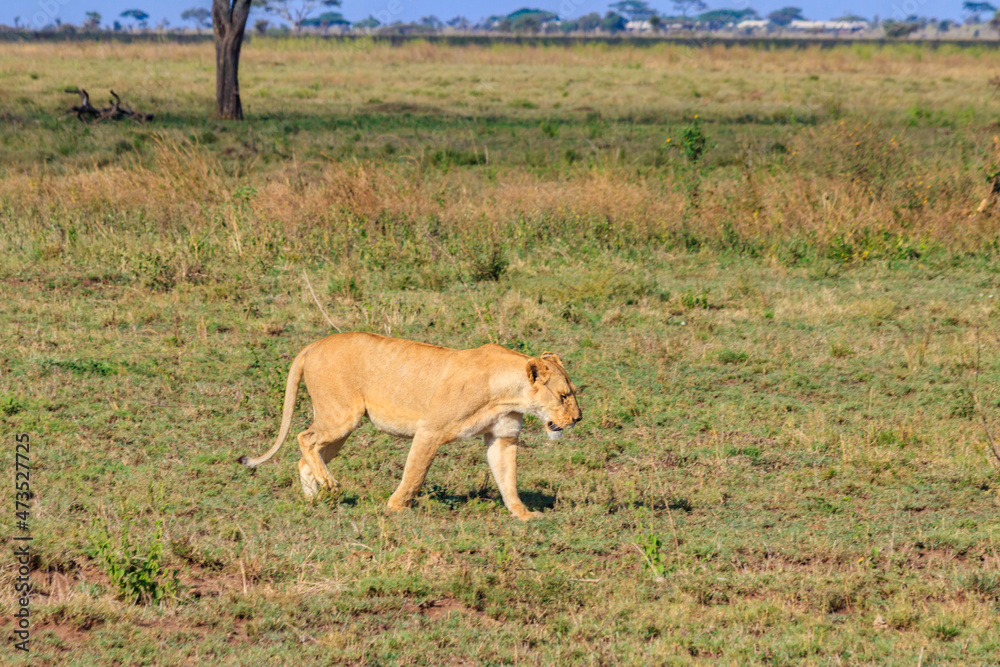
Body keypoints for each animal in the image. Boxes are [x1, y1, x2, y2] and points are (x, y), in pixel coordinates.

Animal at [238, 332, 582, 520]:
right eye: (564, 396)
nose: (577, 418)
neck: (508, 394)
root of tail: (314, 344)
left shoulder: (503, 437)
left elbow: (508, 480)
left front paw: (523, 515)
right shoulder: (430, 429)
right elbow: (415, 475)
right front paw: (395, 508)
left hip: (339, 426)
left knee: (306, 457)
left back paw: (316, 500)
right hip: (341, 416)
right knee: (304, 438)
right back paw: (331, 486)